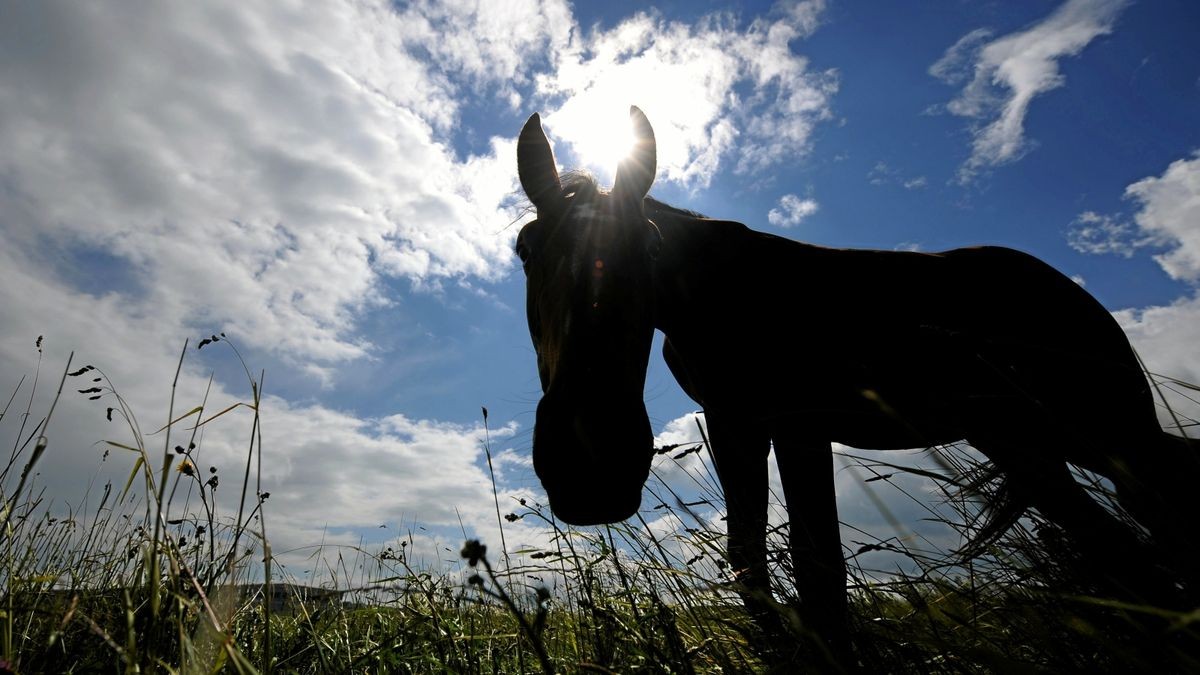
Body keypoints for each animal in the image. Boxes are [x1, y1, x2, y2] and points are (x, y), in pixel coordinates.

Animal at [516, 106, 1200, 658]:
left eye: (652, 249)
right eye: (525, 250)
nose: (591, 467)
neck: (720, 295)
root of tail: (1069, 291)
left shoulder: (797, 424)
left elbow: (818, 568)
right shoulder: (736, 422)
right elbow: (749, 561)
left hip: (1097, 428)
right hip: (1030, 441)